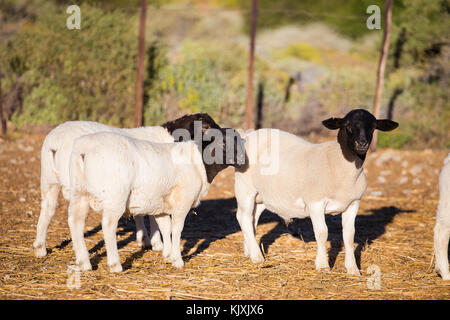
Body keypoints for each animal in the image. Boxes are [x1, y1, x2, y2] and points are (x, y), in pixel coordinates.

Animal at [67, 127, 243, 270]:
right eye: (223, 142)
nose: (242, 161)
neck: (197, 162)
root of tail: (85, 149)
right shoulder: (182, 202)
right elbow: (176, 229)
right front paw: (177, 260)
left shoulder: (161, 205)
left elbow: (165, 228)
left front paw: (168, 254)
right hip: (115, 196)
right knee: (108, 226)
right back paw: (115, 264)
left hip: (79, 193)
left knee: (75, 222)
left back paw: (84, 263)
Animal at [236, 109, 398, 274]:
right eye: (347, 125)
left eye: (373, 127)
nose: (362, 143)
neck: (338, 163)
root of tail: (250, 135)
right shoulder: (315, 202)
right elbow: (322, 233)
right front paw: (323, 265)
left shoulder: (353, 203)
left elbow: (349, 235)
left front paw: (353, 269)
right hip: (245, 187)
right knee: (244, 217)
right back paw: (257, 257)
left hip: (263, 195)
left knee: (252, 218)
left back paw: (249, 250)